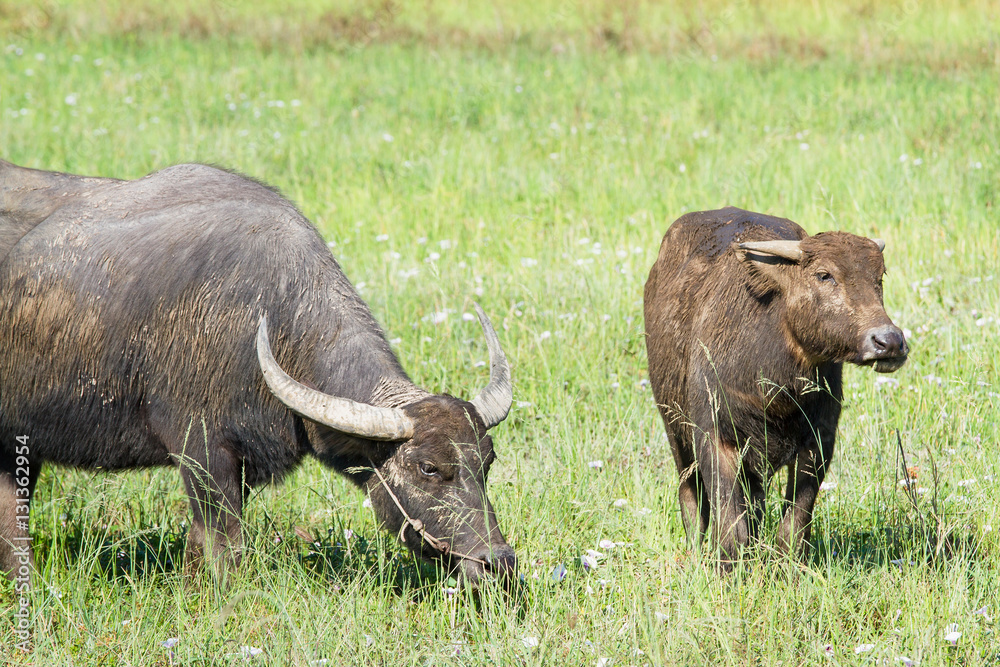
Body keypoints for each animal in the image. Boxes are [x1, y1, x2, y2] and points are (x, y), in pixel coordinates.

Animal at [0, 160, 516, 586]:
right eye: (429, 468)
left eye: (487, 461)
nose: (498, 564)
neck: (266, 312)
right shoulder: (201, 452)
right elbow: (225, 546)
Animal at [644, 207, 908, 567]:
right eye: (824, 275)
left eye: (878, 277)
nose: (889, 341)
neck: (777, 389)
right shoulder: (714, 437)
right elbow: (729, 522)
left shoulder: (818, 443)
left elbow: (793, 523)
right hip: (674, 426)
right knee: (690, 493)